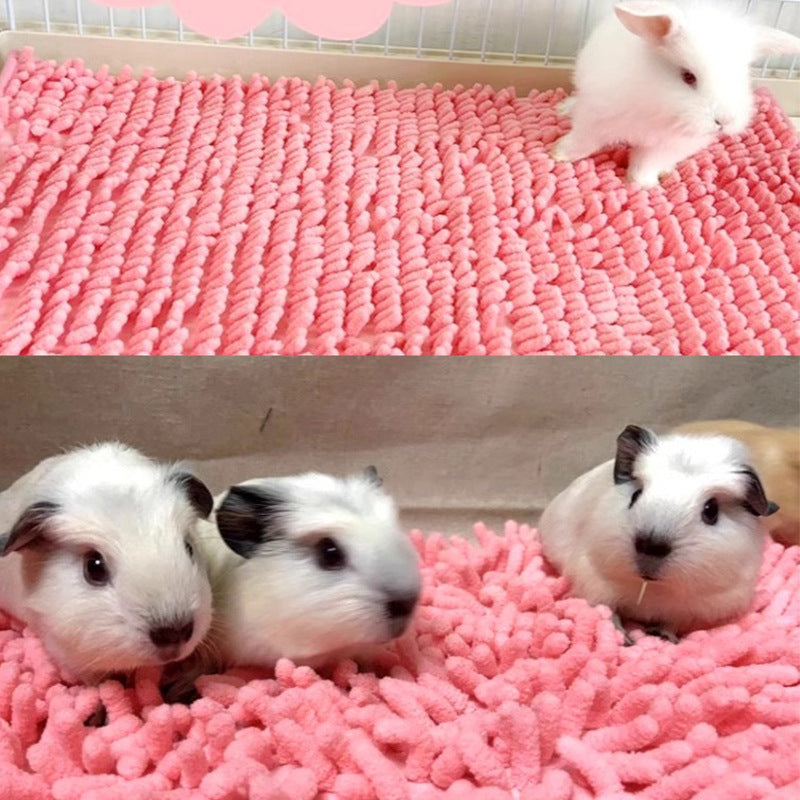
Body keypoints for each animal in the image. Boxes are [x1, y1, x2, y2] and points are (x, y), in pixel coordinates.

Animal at [538, 425, 779, 642]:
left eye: (711, 511)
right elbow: (609, 611)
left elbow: (669, 624)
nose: (650, 545)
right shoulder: (594, 582)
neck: (652, 589)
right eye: (635, 495)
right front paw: (626, 639)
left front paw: (663, 637)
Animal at [552, 0, 800, 187]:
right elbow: (583, 141)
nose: (724, 121)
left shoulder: (668, 146)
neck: (660, 107)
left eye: (742, 77)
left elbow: (647, 163)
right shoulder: (596, 118)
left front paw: (642, 184)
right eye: (688, 76)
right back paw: (563, 109)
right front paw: (558, 154)